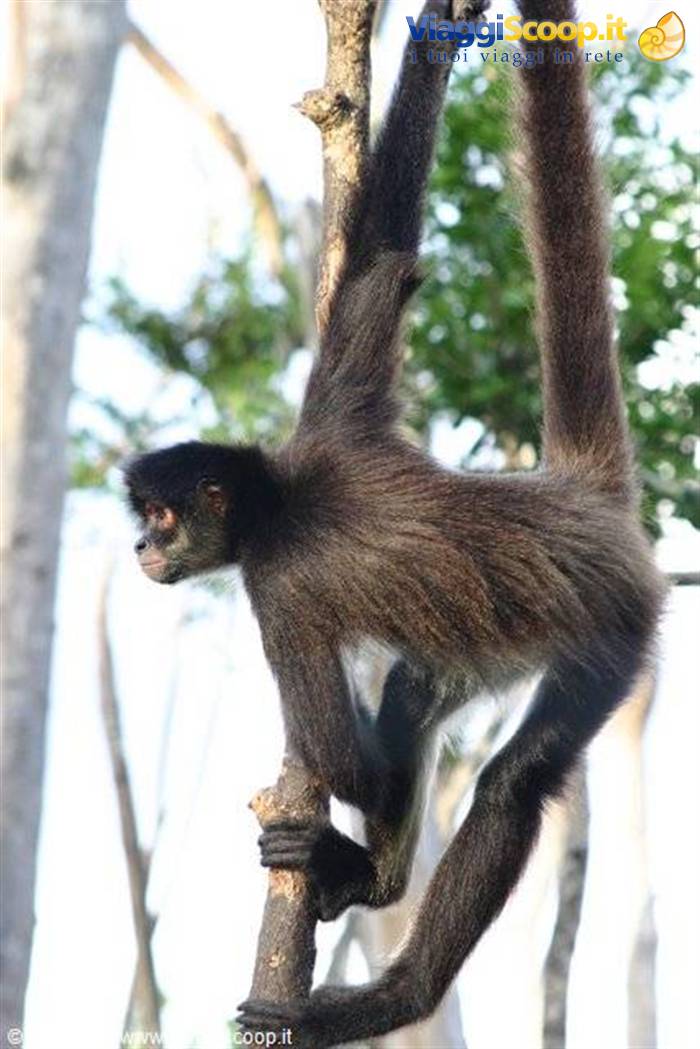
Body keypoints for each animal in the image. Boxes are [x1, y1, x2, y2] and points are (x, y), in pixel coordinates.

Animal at [124, 0, 665, 1044]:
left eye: (163, 516)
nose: (139, 546)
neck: (282, 492)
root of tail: (579, 498)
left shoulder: (278, 586)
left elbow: (347, 762)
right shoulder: (333, 412)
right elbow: (386, 264)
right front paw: (439, 27)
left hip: (616, 624)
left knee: (514, 780)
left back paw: (393, 992)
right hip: (493, 640)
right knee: (415, 694)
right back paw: (375, 881)